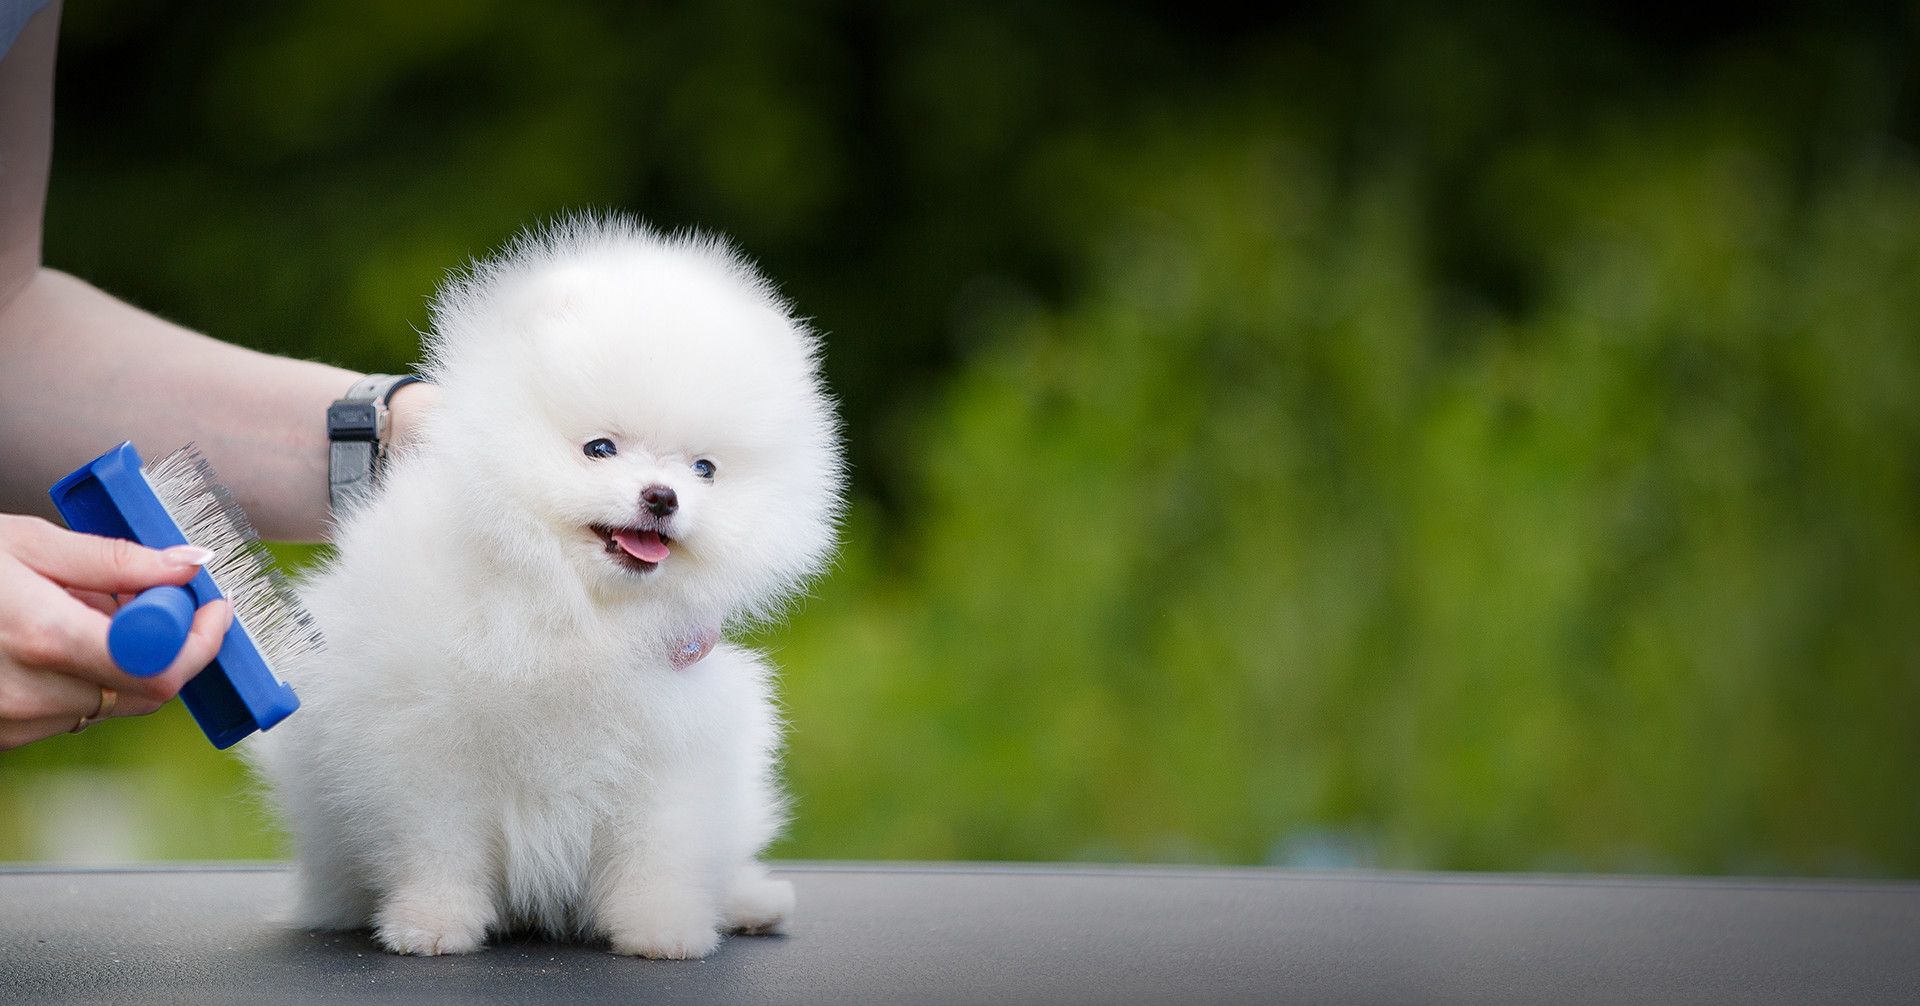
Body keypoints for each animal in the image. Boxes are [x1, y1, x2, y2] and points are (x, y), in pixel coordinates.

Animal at [245, 214, 840, 959]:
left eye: (703, 468)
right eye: (599, 448)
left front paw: (663, 929)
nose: (663, 496)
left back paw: (750, 902)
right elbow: (439, 849)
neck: (566, 602)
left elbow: (658, 852)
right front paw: (432, 924)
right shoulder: (424, 743)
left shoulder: (668, 748)